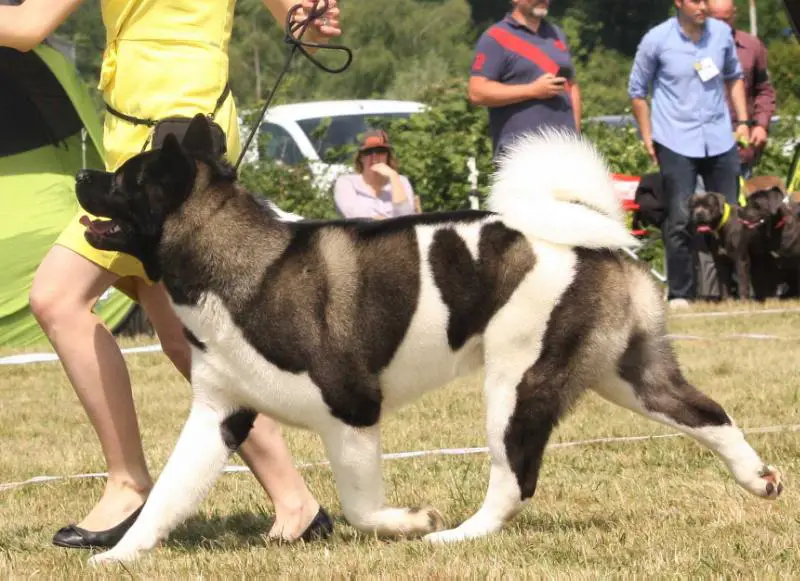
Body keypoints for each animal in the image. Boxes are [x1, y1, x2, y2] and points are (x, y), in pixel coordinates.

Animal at [76, 113, 780, 560]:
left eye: (126, 180)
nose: (83, 177)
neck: (240, 263)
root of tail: (591, 234)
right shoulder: (217, 418)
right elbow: (167, 496)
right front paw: (118, 555)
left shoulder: (352, 415)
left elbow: (361, 507)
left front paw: (411, 522)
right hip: (624, 374)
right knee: (705, 413)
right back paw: (759, 479)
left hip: (514, 386)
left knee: (514, 479)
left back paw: (458, 536)